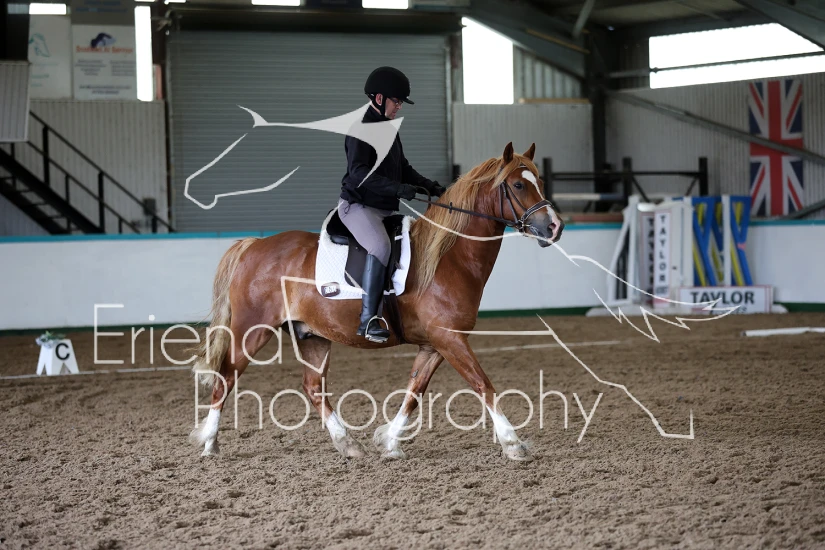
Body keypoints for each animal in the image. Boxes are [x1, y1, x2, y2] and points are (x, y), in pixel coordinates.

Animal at [189, 142, 564, 461]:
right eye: (518, 185)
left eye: (540, 181)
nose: (555, 227)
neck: (449, 257)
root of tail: (254, 245)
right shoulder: (450, 339)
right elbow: (482, 384)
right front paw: (513, 444)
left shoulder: (434, 344)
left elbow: (415, 392)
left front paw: (390, 442)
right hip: (251, 331)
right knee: (226, 377)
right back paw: (209, 443)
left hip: (312, 336)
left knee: (313, 388)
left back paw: (347, 444)